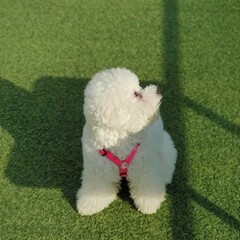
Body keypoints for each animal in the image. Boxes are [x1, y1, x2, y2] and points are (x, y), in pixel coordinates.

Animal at [76, 68, 176, 216]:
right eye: (136, 94)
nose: (159, 90)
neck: (119, 141)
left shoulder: (145, 169)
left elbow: (146, 187)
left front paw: (149, 205)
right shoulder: (97, 170)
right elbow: (95, 189)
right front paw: (89, 206)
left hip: (165, 149)